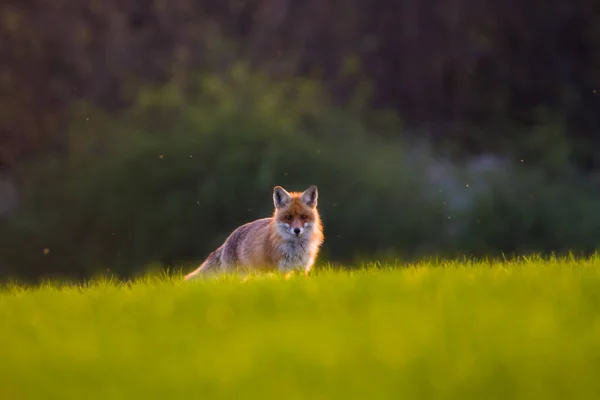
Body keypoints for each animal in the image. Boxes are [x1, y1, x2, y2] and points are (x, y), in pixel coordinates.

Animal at [184, 185, 324, 282]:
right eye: (288, 217)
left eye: (303, 217)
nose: (297, 230)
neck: (295, 249)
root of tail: (228, 238)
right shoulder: (280, 270)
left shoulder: (302, 269)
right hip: (236, 275)